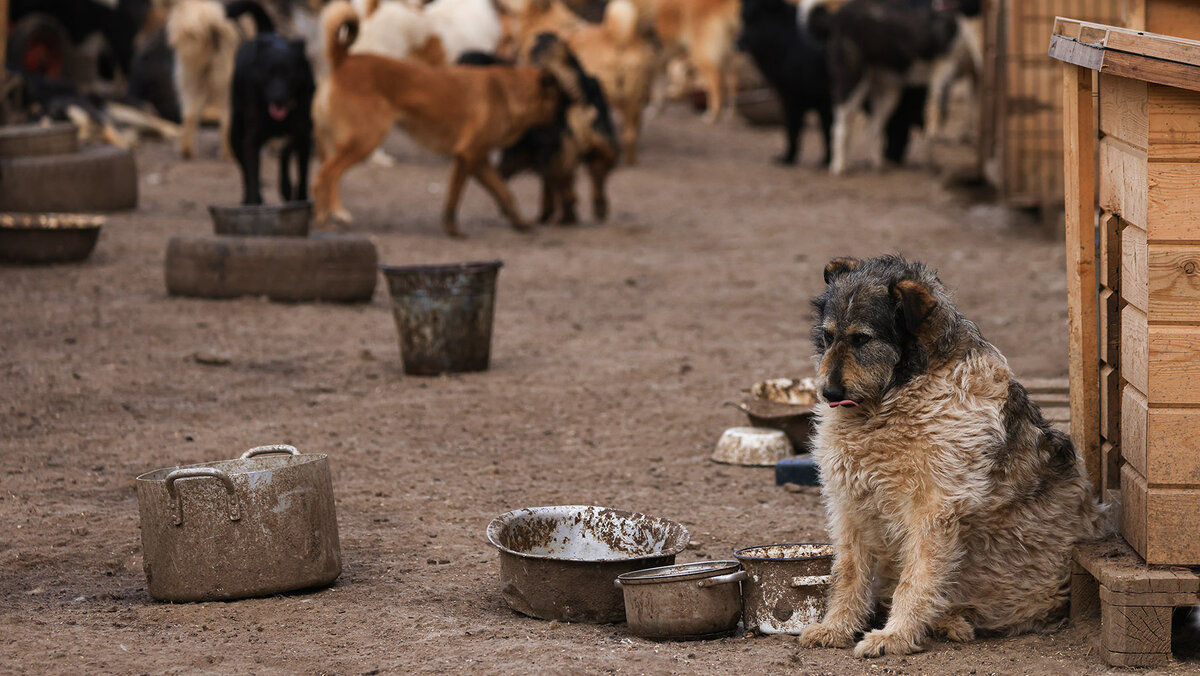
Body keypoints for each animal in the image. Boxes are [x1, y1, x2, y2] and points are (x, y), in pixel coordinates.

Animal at [228, 14, 314, 205]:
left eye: (289, 74)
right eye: (268, 74)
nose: (278, 97)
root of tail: (266, 32)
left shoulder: (304, 135)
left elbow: (301, 173)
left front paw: (297, 196)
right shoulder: (252, 140)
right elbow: (252, 175)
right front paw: (254, 203)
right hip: (235, 133)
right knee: (244, 168)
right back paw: (249, 200)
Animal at [314, 0, 566, 237]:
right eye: (560, 104)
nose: (562, 128)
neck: (505, 91)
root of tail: (343, 60)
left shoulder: (475, 159)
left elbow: (503, 192)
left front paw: (520, 222)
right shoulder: (468, 154)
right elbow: (457, 197)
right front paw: (453, 230)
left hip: (334, 138)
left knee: (323, 174)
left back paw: (329, 213)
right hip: (367, 136)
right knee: (326, 174)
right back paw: (327, 218)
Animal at [734, 0, 830, 166]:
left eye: (757, 20)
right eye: (744, 19)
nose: (737, 43)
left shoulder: (805, 100)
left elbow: (796, 129)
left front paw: (789, 158)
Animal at [796, 252, 1104, 657]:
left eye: (862, 339)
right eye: (829, 336)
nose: (828, 393)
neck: (894, 397)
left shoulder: (932, 510)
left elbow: (914, 580)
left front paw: (894, 636)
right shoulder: (848, 504)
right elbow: (847, 573)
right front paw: (836, 628)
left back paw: (948, 623)